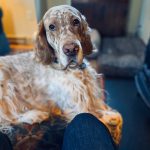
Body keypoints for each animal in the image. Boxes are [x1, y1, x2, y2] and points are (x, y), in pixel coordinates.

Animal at [0, 5, 122, 144]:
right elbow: (100, 118)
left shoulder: (93, 96)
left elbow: (115, 115)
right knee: (7, 117)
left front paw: (114, 124)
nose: (71, 49)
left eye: (76, 21)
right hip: (5, 85)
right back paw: (34, 115)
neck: (73, 70)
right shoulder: (78, 108)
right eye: (52, 26)